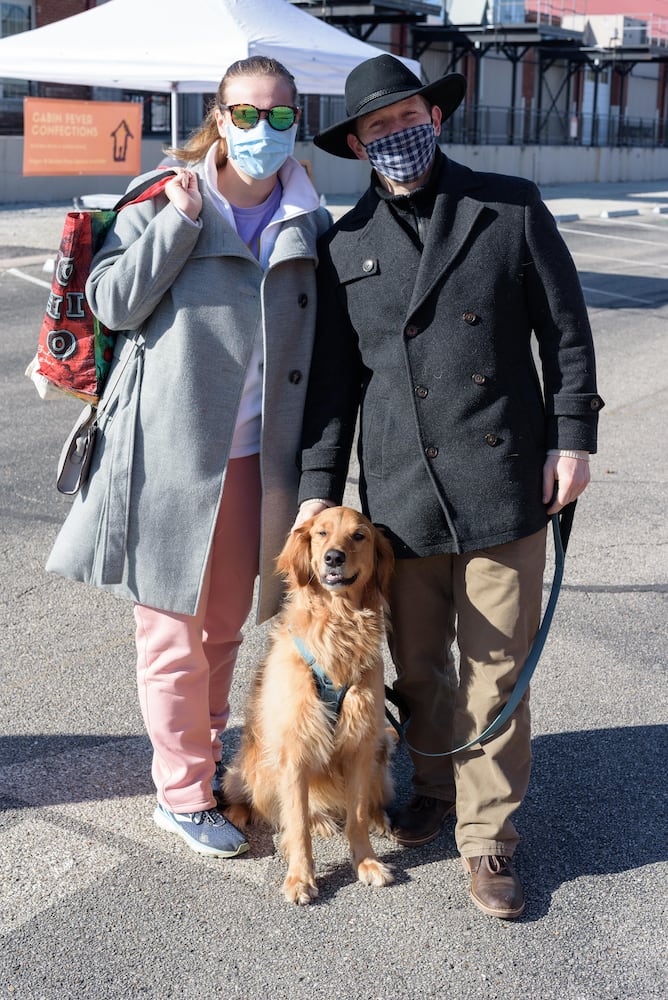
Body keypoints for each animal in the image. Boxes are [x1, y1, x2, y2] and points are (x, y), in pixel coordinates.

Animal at [224, 504, 394, 904]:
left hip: (383, 743)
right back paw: (243, 814)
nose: (334, 557)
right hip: (253, 765)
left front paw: (366, 861)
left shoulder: (361, 744)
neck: (338, 625)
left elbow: (356, 815)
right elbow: (297, 823)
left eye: (359, 535)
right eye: (321, 532)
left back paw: (379, 817)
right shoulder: (294, 749)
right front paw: (300, 878)